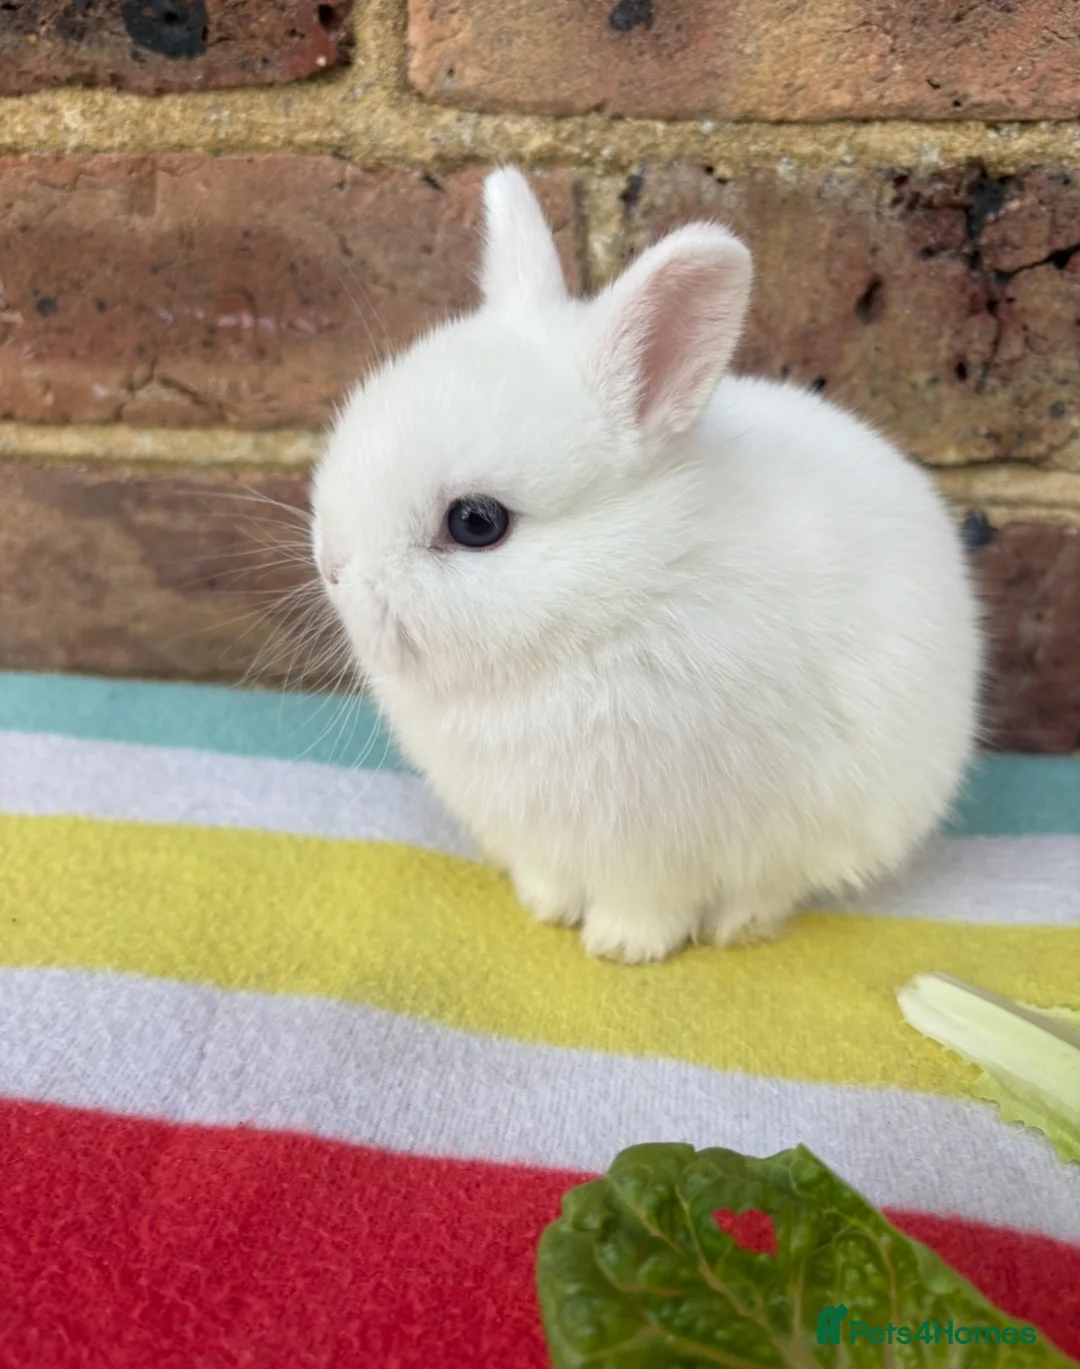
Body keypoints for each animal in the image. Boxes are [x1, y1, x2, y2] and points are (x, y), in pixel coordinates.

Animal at [310, 166, 983, 965]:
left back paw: (739, 924)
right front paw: (546, 906)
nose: (333, 567)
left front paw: (622, 946)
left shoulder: (661, 842)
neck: (623, 595)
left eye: (476, 523)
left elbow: (650, 901)